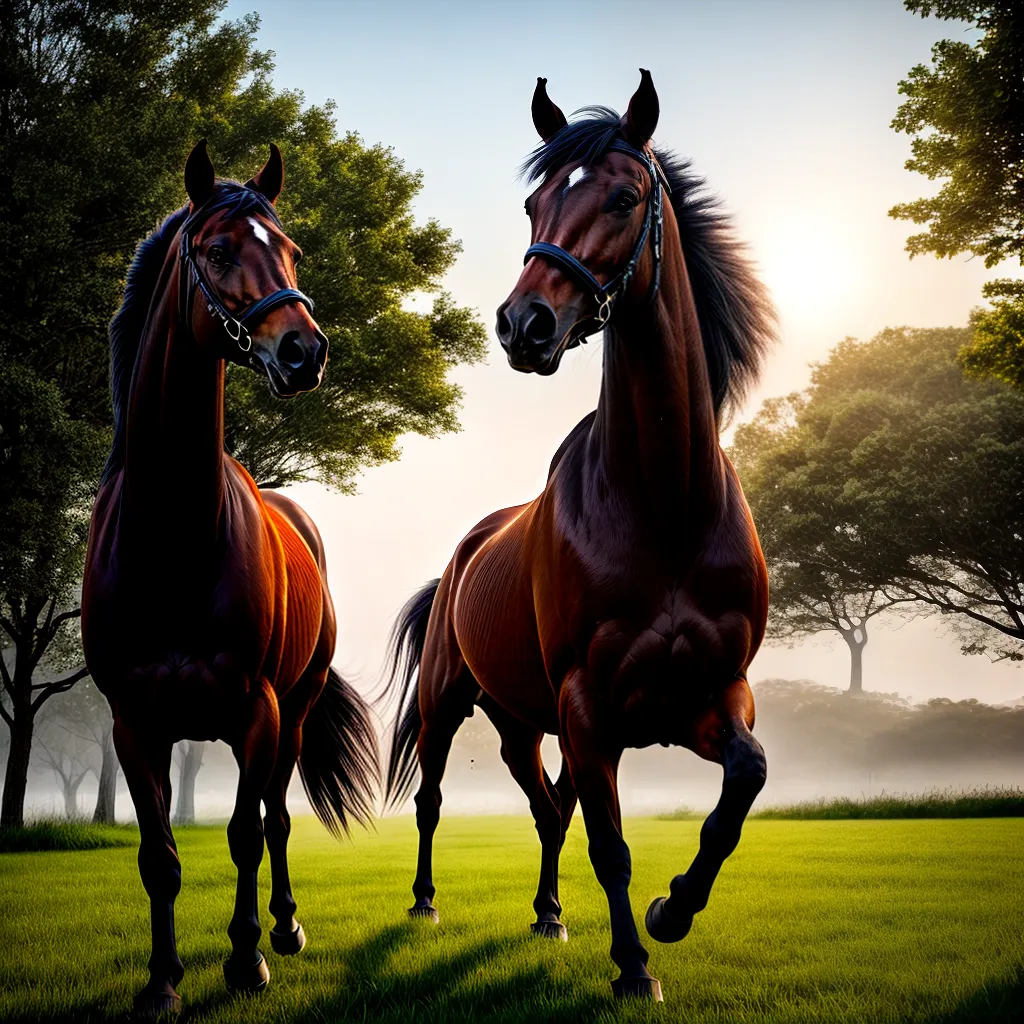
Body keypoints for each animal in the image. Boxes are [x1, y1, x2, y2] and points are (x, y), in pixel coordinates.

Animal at [81, 142, 378, 1018]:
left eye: (291, 251)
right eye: (216, 251)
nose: (304, 352)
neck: (174, 535)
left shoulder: (257, 710)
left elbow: (248, 832)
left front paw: (247, 960)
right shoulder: (133, 723)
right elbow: (159, 857)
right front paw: (162, 983)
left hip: (297, 710)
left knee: (276, 817)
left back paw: (283, 928)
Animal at [381, 70, 775, 1001]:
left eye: (625, 198)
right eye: (534, 204)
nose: (524, 324)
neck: (665, 506)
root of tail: (461, 557)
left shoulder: (713, 695)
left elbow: (741, 786)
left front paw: (673, 911)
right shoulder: (591, 707)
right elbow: (612, 845)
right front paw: (634, 965)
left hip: (526, 724)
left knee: (545, 805)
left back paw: (550, 915)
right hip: (453, 704)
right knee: (437, 801)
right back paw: (426, 903)